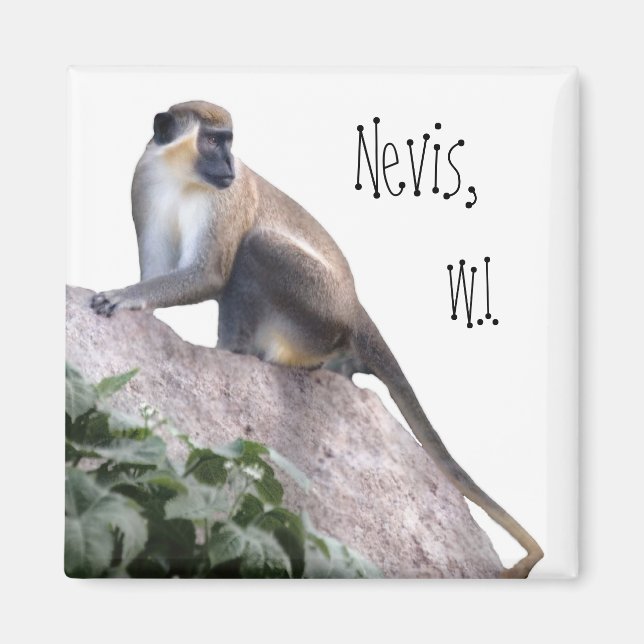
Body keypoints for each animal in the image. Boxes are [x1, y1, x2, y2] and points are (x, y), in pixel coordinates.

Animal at [91, 100, 543, 578]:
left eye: (227, 141)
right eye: (213, 140)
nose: (230, 164)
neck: (181, 175)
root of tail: (355, 307)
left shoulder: (227, 199)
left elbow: (211, 274)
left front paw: (126, 296)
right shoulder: (144, 180)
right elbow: (160, 270)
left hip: (318, 311)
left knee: (255, 246)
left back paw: (237, 353)